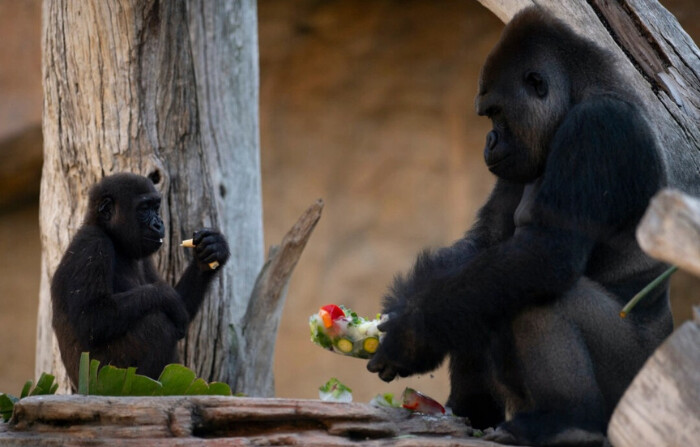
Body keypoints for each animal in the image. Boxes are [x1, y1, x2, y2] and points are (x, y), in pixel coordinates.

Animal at [50, 173, 230, 386]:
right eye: (144, 209)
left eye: (156, 207)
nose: (159, 224)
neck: (112, 236)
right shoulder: (92, 243)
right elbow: (91, 318)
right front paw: (167, 296)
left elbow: (182, 304)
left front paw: (212, 249)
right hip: (100, 381)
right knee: (156, 324)